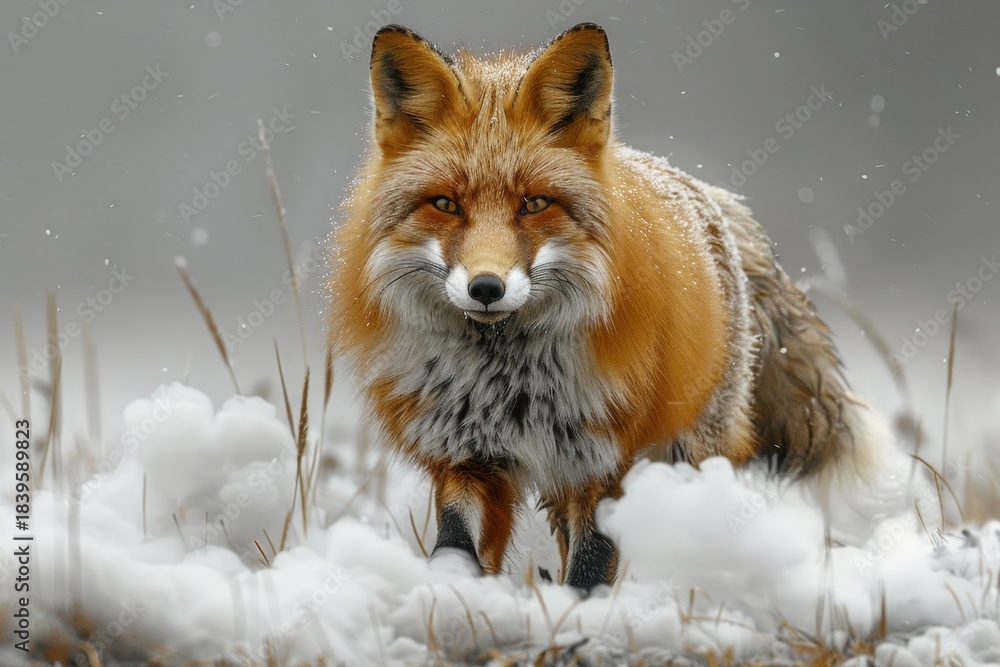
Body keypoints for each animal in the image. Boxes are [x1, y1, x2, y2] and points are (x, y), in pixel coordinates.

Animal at [327, 23, 888, 592]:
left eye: (535, 204)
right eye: (445, 204)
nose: (486, 287)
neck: (506, 381)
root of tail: (714, 199)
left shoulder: (604, 461)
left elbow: (591, 565)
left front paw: (578, 613)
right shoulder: (467, 457)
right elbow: (456, 548)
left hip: (687, 454)